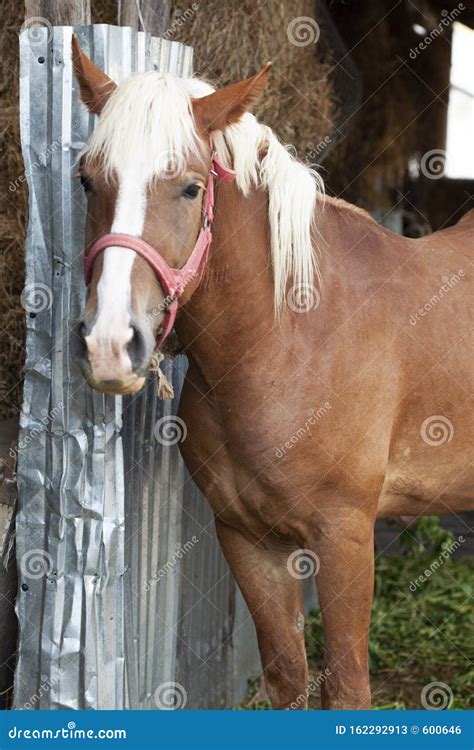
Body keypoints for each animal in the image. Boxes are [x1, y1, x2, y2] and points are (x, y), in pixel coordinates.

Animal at [72, 39, 472, 712]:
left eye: (191, 188)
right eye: (86, 180)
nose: (109, 344)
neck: (293, 338)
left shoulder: (344, 537)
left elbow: (347, 687)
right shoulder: (249, 539)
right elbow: (287, 677)